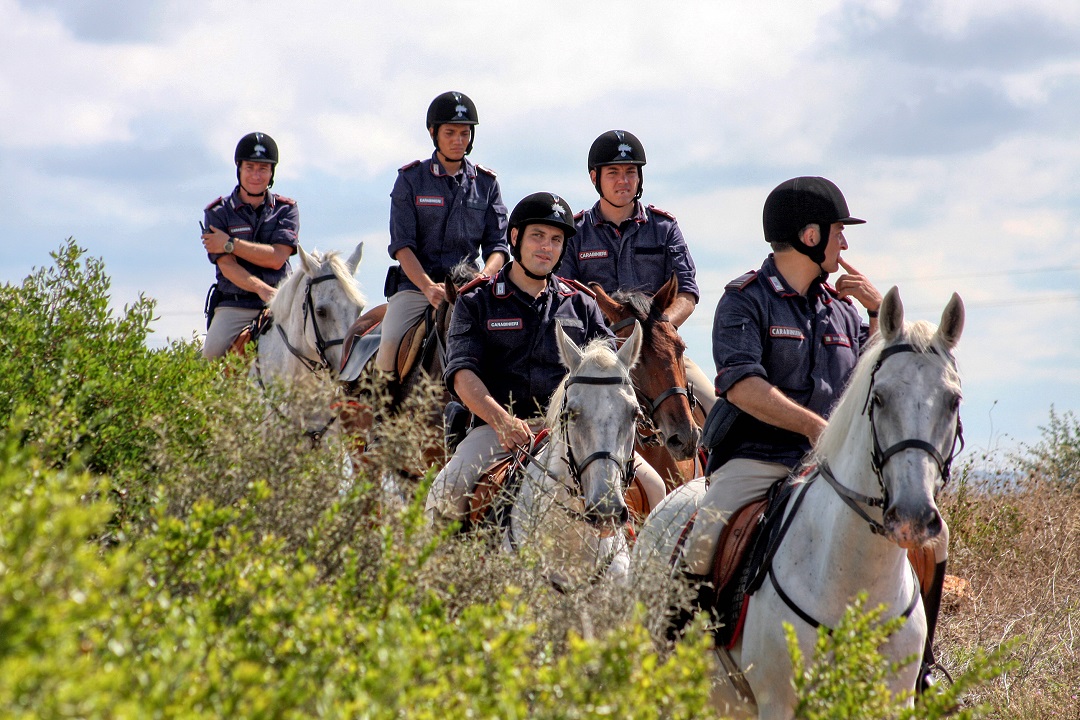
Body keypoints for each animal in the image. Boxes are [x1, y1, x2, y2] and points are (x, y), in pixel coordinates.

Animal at [630, 289, 967, 720]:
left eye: (953, 401)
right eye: (879, 398)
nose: (912, 517)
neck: (854, 577)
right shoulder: (779, 702)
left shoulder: (892, 701)